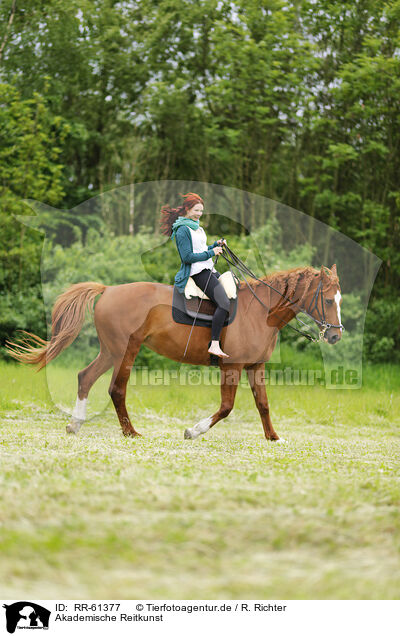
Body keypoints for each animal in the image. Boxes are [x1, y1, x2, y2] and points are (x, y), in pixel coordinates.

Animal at [7, 264, 342, 442]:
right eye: (328, 300)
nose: (336, 335)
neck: (260, 311)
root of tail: (109, 290)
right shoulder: (231, 367)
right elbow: (226, 407)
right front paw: (193, 431)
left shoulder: (254, 366)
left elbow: (263, 405)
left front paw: (273, 437)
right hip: (125, 351)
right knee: (116, 389)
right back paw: (131, 432)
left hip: (110, 351)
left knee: (85, 377)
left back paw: (76, 424)